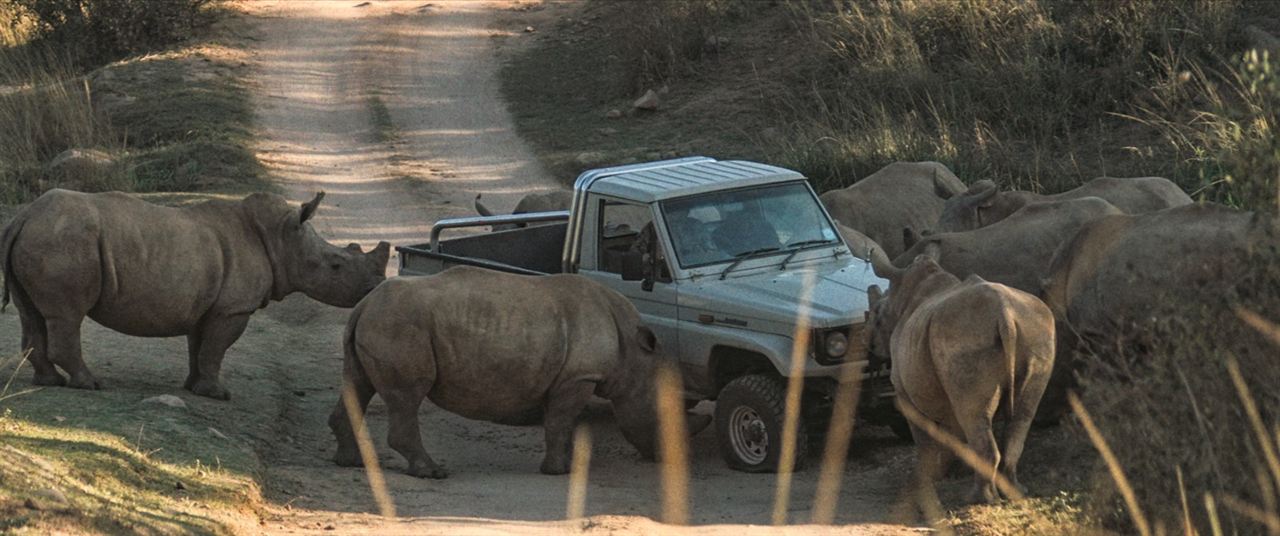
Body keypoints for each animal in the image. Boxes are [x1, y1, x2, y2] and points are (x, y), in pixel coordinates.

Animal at [1, 190, 389, 401]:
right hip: (63, 242)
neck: (281, 238)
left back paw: (50, 381)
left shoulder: (208, 305)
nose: (373, 288)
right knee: (66, 315)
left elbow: (200, 348)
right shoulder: (233, 309)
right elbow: (216, 349)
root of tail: (23, 217)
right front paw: (218, 395)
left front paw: (193, 387)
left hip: (42, 238)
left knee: (31, 313)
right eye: (336, 265)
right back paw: (90, 384)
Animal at [330, 267, 711, 478]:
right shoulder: (579, 376)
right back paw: (433, 472)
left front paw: (566, 463)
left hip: (378, 324)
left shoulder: (565, 376)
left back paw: (349, 463)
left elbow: (560, 423)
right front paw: (561, 471)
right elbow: (559, 421)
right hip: (399, 325)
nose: (671, 458)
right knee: (407, 397)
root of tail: (363, 304)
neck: (634, 356)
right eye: (662, 415)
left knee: (357, 385)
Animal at [865, 248, 1054, 509]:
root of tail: (1004, 312)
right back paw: (1016, 492)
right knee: (1022, 414)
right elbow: (955, 432)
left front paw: (927, 479)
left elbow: (924, 437)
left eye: (877, 317)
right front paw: (951, 472)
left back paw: (978, 499)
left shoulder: (904, 391)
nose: (871, 347)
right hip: (1036, 329)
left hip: (963, 336)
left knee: (974, 415)